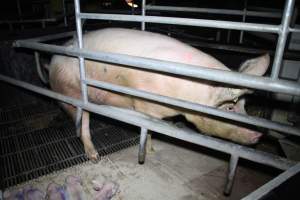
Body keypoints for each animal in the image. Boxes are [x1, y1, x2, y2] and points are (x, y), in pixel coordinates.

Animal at [48, 27, 270, 161]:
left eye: (244, 106)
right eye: (230, 107)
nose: (259, 133)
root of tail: (53, 59)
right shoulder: (145, 106)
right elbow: (149, 130)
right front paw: (150, 150)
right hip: (72, 92)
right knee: (82, 123)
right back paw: (94, 157)